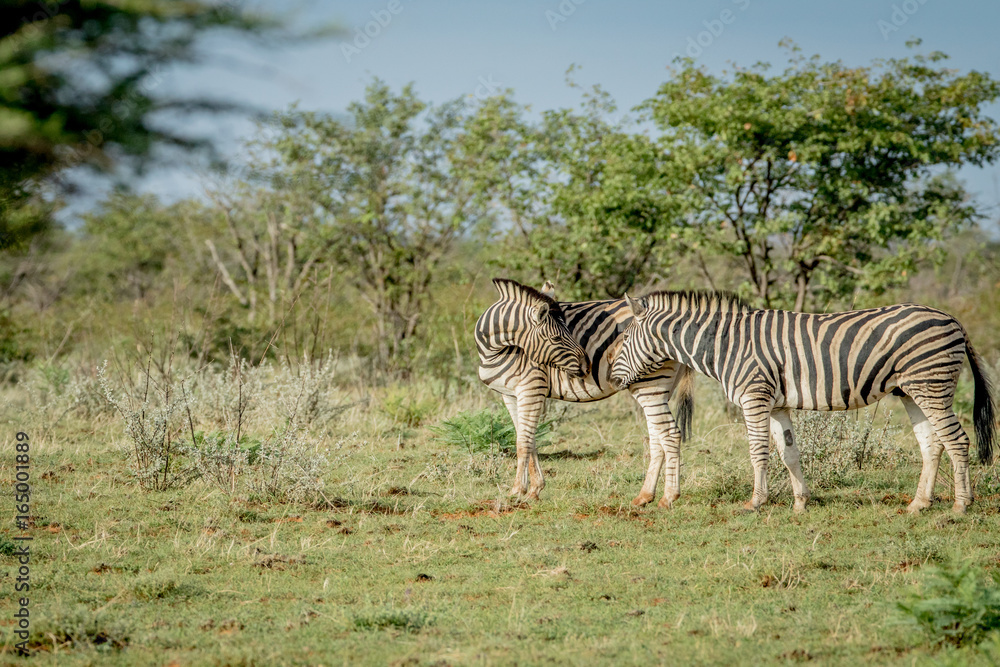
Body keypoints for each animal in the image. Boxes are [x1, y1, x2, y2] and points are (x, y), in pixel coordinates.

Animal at [476, 278, 694, 505]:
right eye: (556, 338)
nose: (586, 365)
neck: (494, 350)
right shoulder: (509, 394)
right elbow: (527, 437)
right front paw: (534, 488)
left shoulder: (532, 387)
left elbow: (523, 442)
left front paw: (518, 490)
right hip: (660, 386)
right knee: (657, 435)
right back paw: (644, 496)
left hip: (649, 382)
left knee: (669, 433)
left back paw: (668, 497)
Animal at [610, 291, 996, 514]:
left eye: (625, 338)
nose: (612, 377)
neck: (724, 345)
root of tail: (953, 319)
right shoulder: (777, 403)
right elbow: (789, 452)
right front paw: (800, 502)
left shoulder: (754, 396)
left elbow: (758, 451)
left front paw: (755, 502)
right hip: (912, 390)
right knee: (932, 444)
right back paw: (919, 504)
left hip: (932, 385)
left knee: (957, 441)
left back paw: (961, 506)